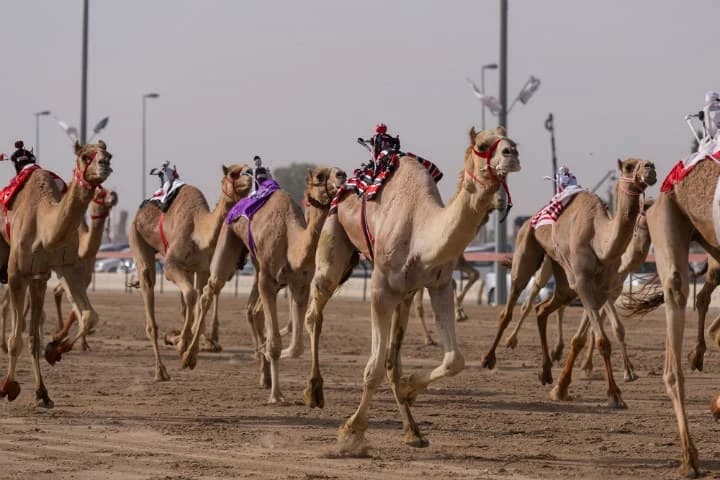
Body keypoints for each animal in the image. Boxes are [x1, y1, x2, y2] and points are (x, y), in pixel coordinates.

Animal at [0, 140, 112, 407]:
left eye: (109, 154)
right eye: (85, 156)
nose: (105, 164)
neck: (43, 226)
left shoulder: (55, 270)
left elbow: (87, 317)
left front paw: (51, 360)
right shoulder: (16, 274)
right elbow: (16, 339)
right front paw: (8, 386)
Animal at [129, 164, 253, 381]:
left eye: (249, 168)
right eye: (233, 173)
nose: (250, 176)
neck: (198, 232)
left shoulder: (202, 268)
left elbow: (201, 299)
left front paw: (187, 350)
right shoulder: (171, 265)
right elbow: (191, 295)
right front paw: (181, 344)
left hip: (186, 268)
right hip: (137, 236)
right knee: (148, 282)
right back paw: (160, 370)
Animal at [182, 166, 347, 405]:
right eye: (320, 176)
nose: (342, 175)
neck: (291, 239)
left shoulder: (300, 285)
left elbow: (296, 346)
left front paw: (266, 355)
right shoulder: (268, 280)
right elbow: (276, 343)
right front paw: (276, 395)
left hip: (260, 267)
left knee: (253, 309)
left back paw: (264, 371)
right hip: (229, 240)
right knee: (209, 291)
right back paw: (188, 356)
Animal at [302, 127, 520, 449]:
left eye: (509, 139)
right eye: (482, 145)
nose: (512, 153)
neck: (422, 234)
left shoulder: (439, 285)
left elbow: (454, 360)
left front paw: (409, 390)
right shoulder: (380, 291)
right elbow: (373, 369)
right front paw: (352, 431)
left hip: (404, 295)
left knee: (394, 360)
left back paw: (413, 431)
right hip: (332, 240)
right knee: (315, 314)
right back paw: (314, 391)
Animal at [480, 158, 656, 409]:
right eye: (630, 166)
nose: (650, 167)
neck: (600, 241)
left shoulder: (603, 289)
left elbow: (590, 336)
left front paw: (563, 386)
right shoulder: (584, 282)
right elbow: (602, 339)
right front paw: (614, 393)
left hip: (562, 279)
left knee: (542, 309)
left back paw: (545, 371)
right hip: (528, 254)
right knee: (514, 304)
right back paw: (491, 356)